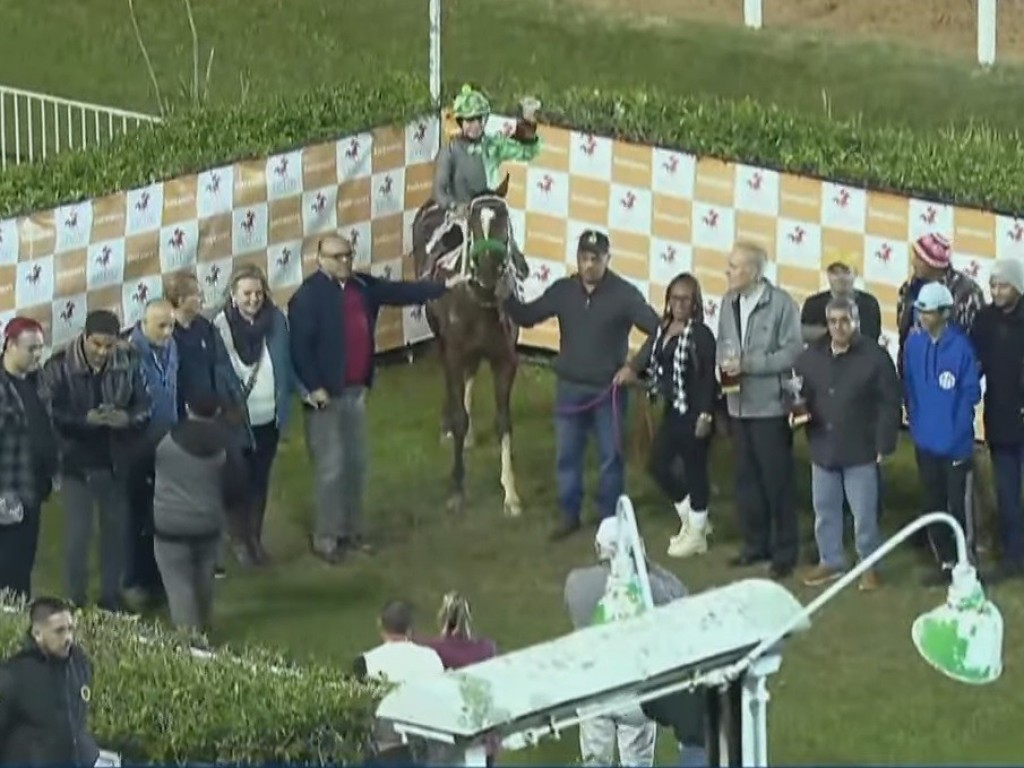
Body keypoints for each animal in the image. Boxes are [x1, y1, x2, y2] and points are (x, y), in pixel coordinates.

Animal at [411, 189, 528, 520]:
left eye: (503, 220)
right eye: (475, 223)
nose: (488, 269)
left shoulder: (505, 361)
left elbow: (503, 422)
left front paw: (511, 495)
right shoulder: (454, 354)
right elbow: (459, 417)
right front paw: (457, 492)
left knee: (471, 377)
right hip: (440, 340)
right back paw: (448, 428)